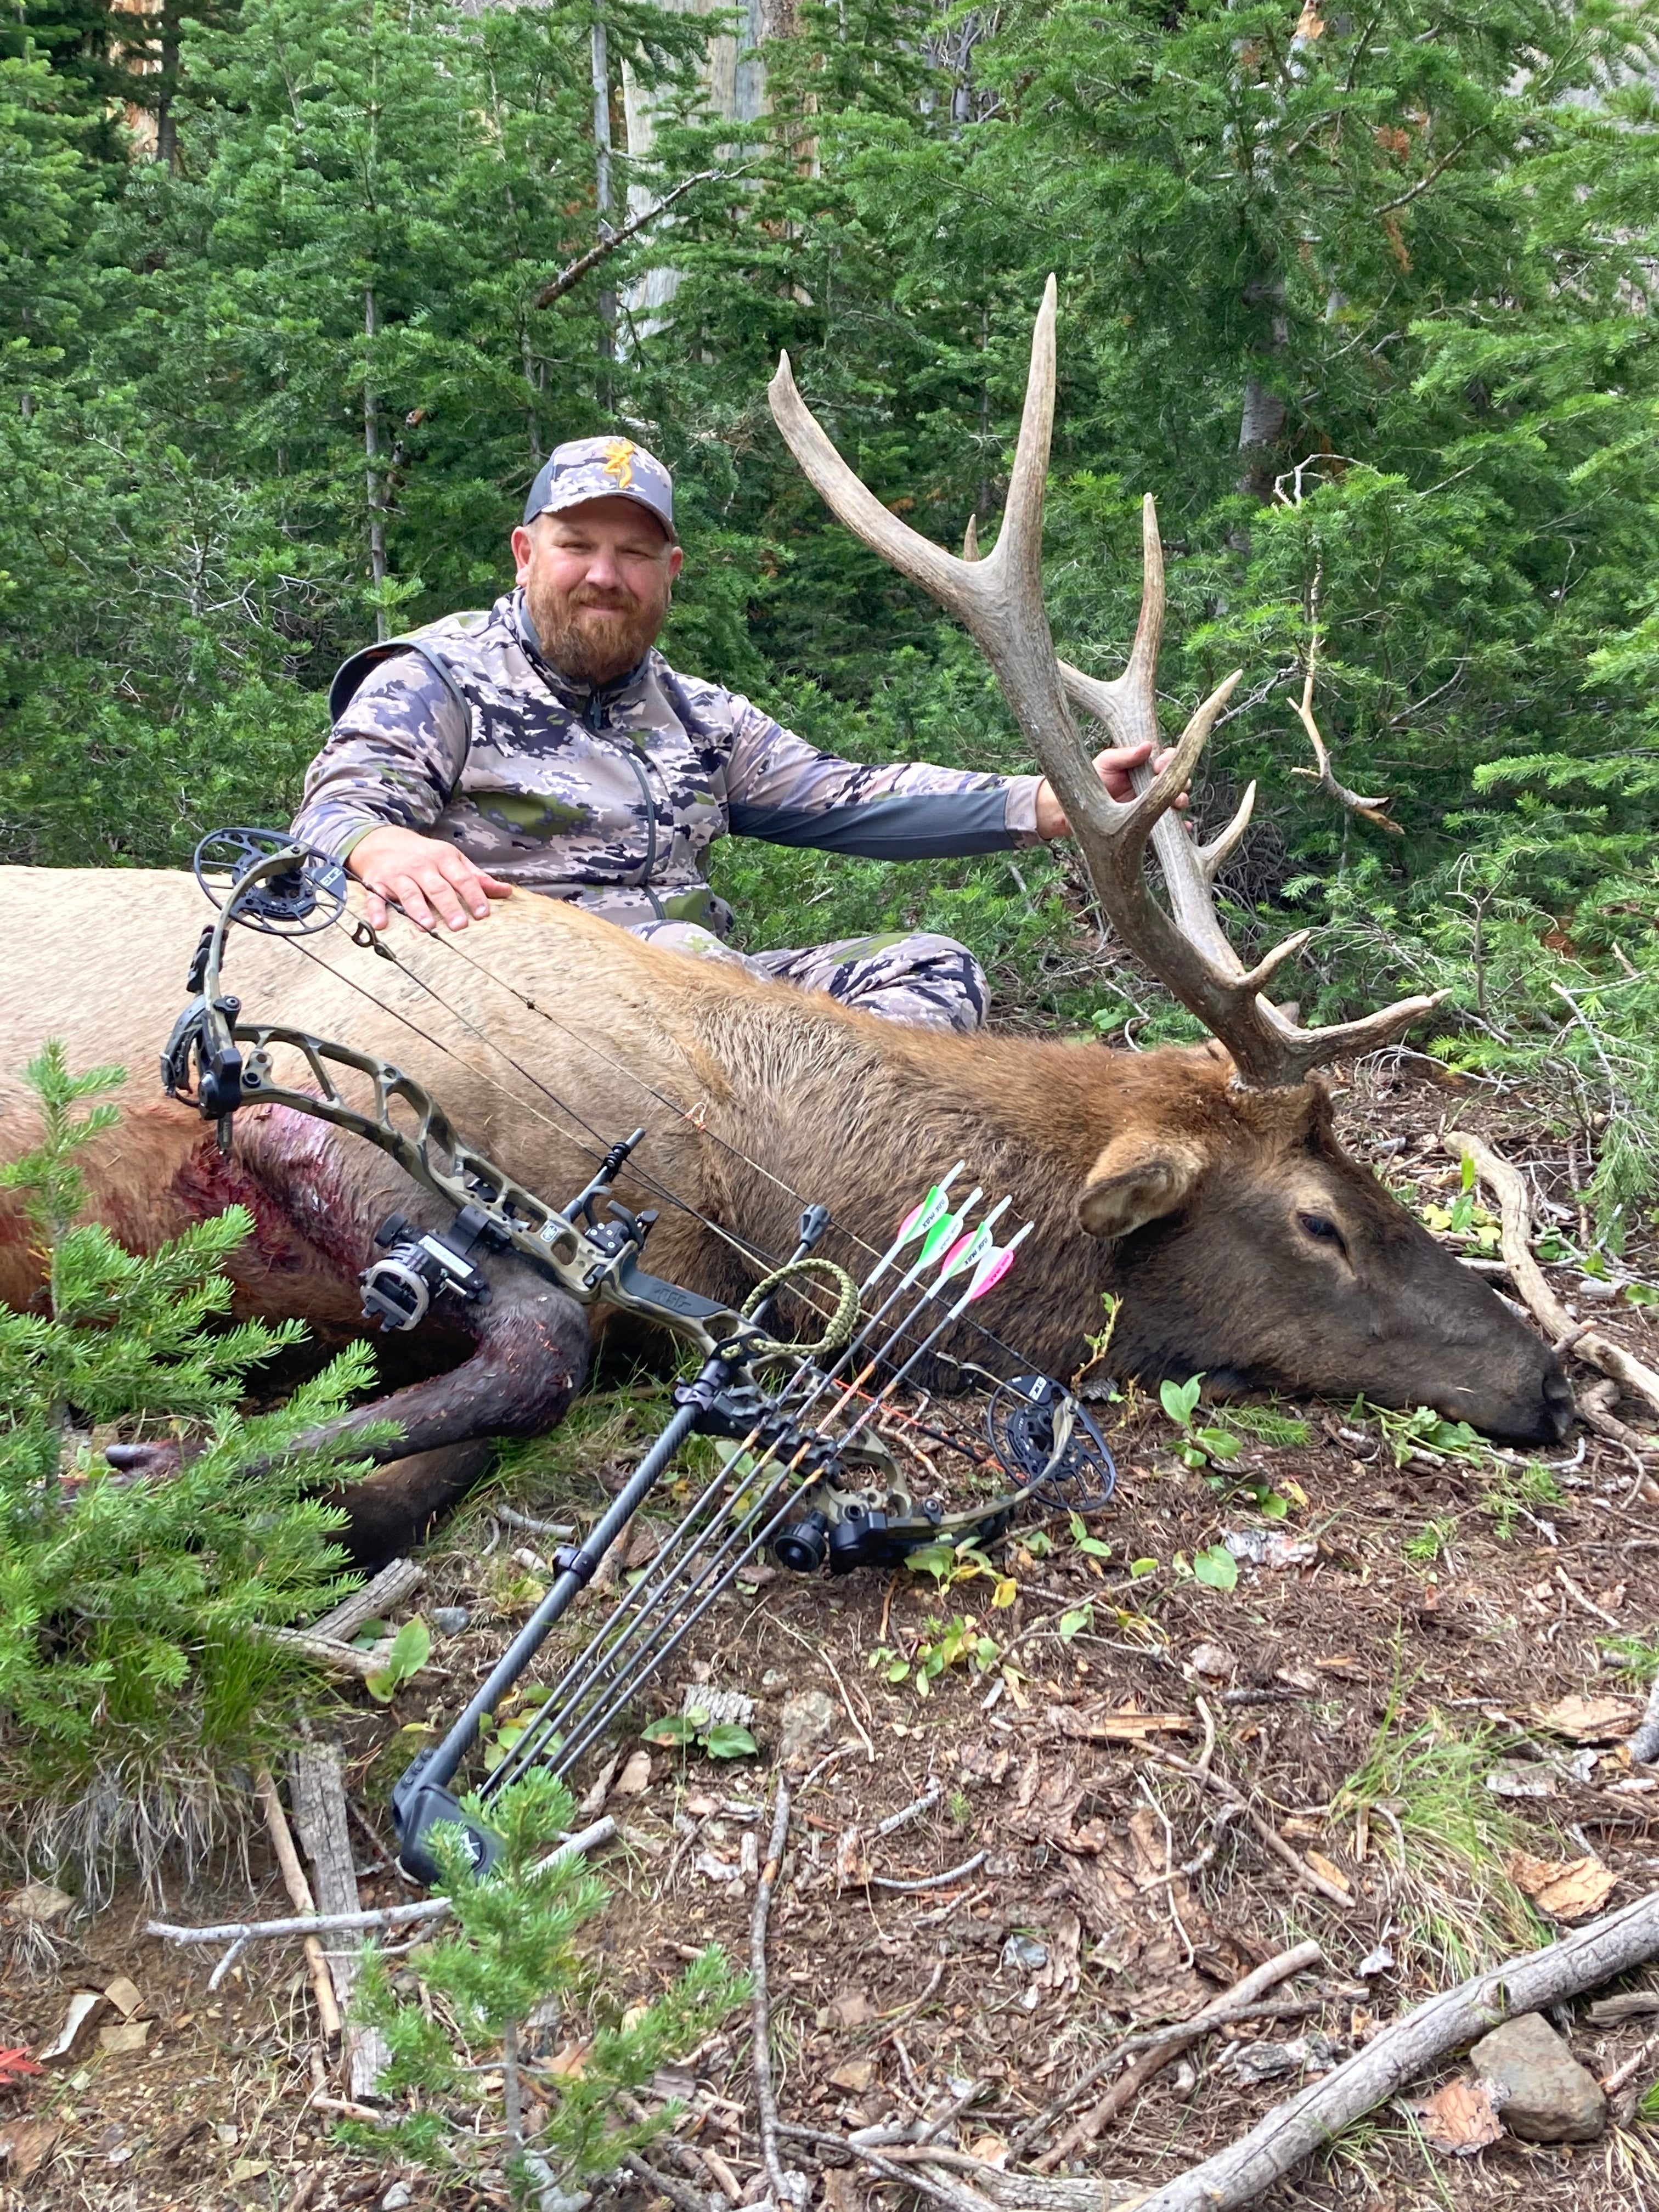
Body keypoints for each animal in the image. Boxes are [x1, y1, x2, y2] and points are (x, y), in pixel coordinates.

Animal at [0, 285, 1571, 1563]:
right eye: (1319, 1221)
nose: (1552, 1376)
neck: (741, 1184)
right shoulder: (312, 1104)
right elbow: (530, 1360)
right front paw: (119, 1470)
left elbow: (417, 1476)